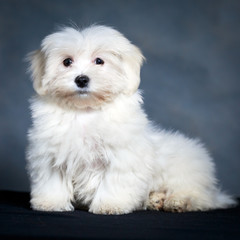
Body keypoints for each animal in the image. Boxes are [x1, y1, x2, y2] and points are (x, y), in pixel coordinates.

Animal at [25, 25, 234, 215]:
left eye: (99, 61)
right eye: (67, 61)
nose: (81, 79)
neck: (86, 111)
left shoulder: (121, 157)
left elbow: (114, 182)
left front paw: (110, 205)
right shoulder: (50, 156)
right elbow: (52, 181)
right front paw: (50, 203)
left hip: (184, 173)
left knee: (197, 196)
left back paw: (177, 202)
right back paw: (155, 200)